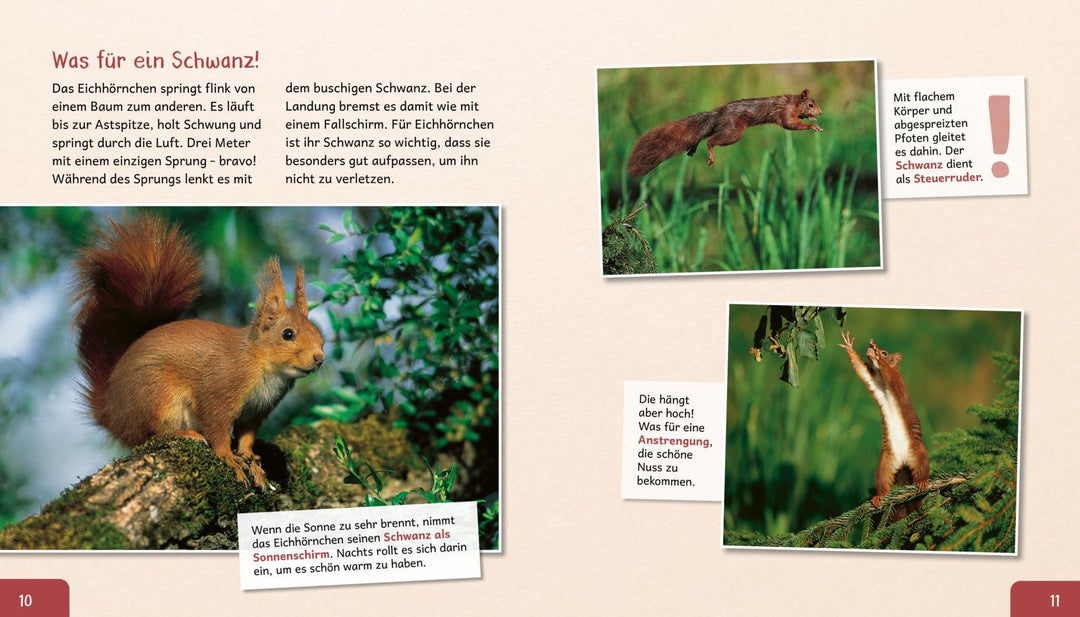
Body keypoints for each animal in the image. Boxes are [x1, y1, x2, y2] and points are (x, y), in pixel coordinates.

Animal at [73, 214, 325, 489]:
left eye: (318, 332)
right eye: (288, 334)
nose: (319, 358)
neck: (263, 365)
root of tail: (111, 413)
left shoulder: (257, 409)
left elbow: (246, 436)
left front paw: (252, 462)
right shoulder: (220, 389)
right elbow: (217, 427)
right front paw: (229, 457)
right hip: (157, 393)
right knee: (151, 432)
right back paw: (186, 433)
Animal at [626, 89, 823, 177]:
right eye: (810, 104)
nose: (820, 112)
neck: (793, 103)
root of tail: (718, 114)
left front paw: (812, 121)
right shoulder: (786, 113)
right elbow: (790, 124)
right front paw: (812, 126)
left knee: (702, 135)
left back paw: (693, 148)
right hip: (733, 132)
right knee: (710, 140)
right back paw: (710, 154)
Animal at [839, 332, 930, 521]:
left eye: (886, 352)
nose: (871, 350)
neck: (881, 378)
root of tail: (903, 461)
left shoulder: (895, 379)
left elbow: (888, 371)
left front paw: (876, 355)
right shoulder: (873, 380)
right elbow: (861, 370)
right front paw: (850, 347)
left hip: (918, 453)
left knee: (922, 469)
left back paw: (922, 481)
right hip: (885, 463)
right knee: (884, 482)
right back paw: (879, 496)